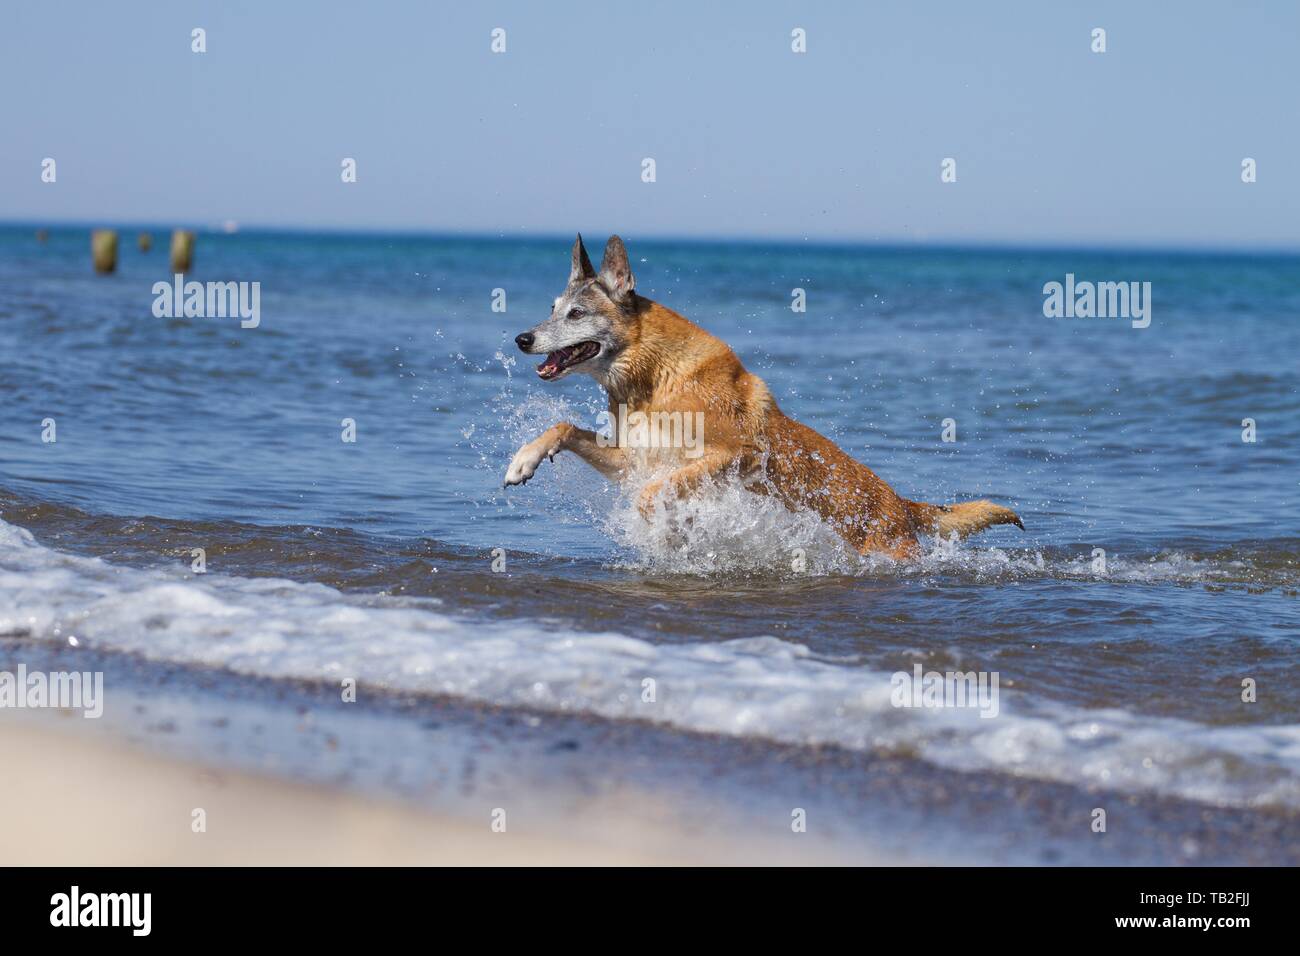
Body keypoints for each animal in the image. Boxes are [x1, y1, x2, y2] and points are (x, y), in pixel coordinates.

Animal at [501, 234, 1019, 561]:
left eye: (576, 314)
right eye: (552, 308)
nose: (522, 339)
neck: (654, 377)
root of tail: (902, 504)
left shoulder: (740, 454)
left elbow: (655, 492)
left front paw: (669, 527)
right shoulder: (632, 459)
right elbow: (564, 427)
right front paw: (523, 460)